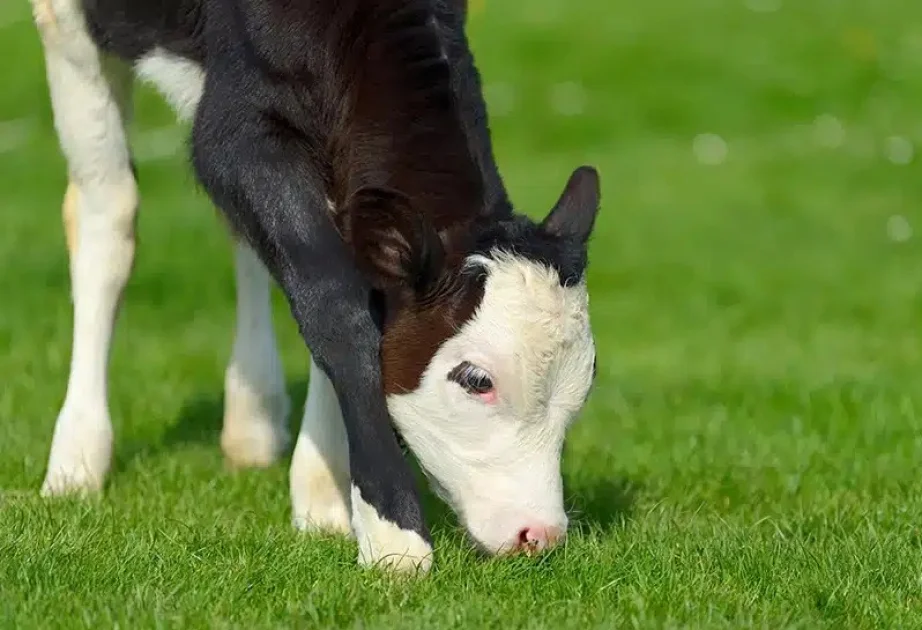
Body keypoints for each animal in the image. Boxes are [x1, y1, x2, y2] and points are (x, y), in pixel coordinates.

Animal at [30, 0, 596, 576]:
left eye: (588, 377)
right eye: (476, 379)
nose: (539, 533)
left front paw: (322, 493)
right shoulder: (234, 128)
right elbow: (331, 298)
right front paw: (392, 537)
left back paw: (251, 422)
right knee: (107, 214)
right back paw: (77, 459)